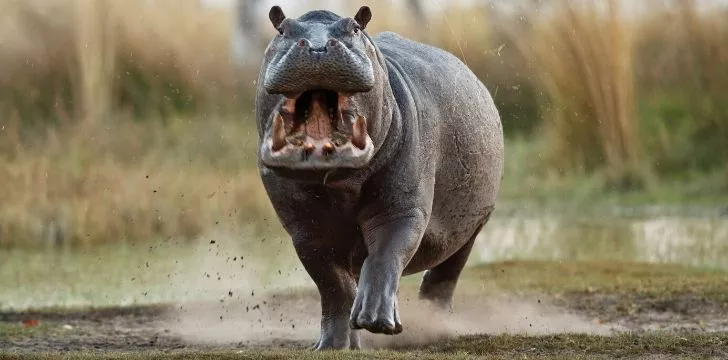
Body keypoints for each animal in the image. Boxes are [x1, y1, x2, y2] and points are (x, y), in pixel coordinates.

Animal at [253, 4, 504, 350]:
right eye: (281, 29)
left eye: (355, 28)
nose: (317, 47)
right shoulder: (304, 229)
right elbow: (333, 285)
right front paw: (332, 345)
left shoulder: (401, 210)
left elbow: (385, 255)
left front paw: (377, 321)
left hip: (473, 227)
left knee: (445, 274)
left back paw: (434, 325)